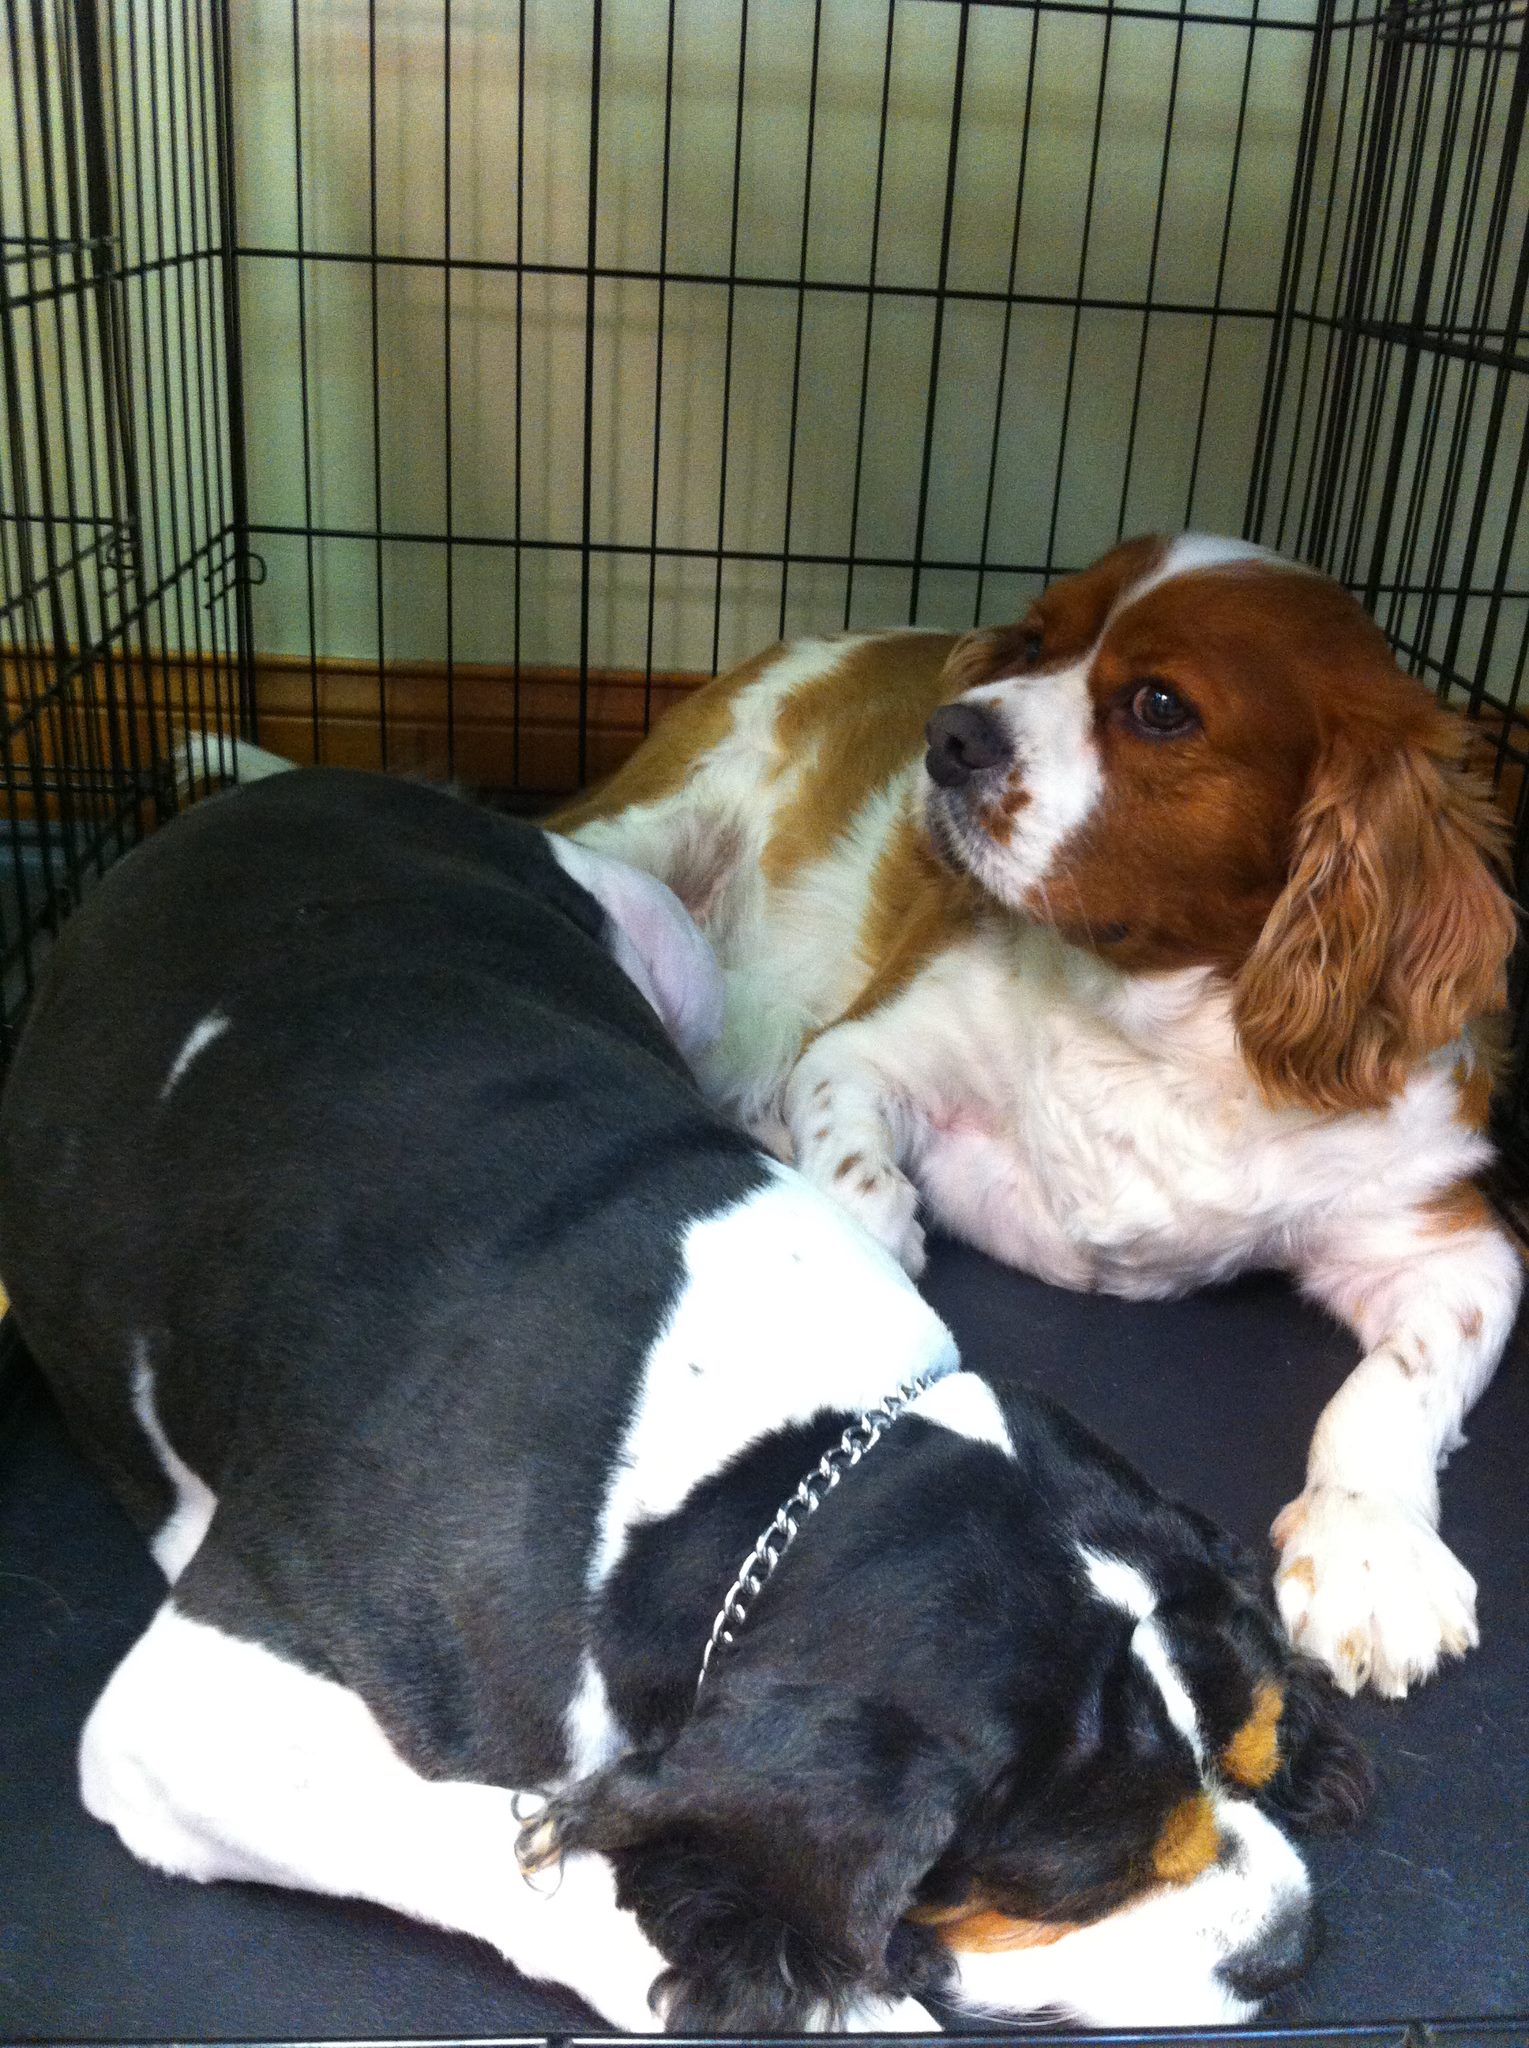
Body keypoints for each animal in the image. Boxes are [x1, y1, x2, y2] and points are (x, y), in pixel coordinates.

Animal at [0, 769, 1367, 2032]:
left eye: (1252, 1758)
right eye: (1085, 1879)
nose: (1289, 1946)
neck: (776, 1464)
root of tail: (269, 787)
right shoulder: (189, 1709)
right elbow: (509, 1843)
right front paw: (824, 1996)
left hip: (665, 945)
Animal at [554, 533, 1524, 1703]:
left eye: (1159, 706)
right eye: (1030, 642)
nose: (948, 733)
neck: (1148, 1022)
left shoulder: (1447, 1234)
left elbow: (1388, 1386)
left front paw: (1369, 1548)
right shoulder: (860, 1051)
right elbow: (853, 1166)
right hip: (647, 833)